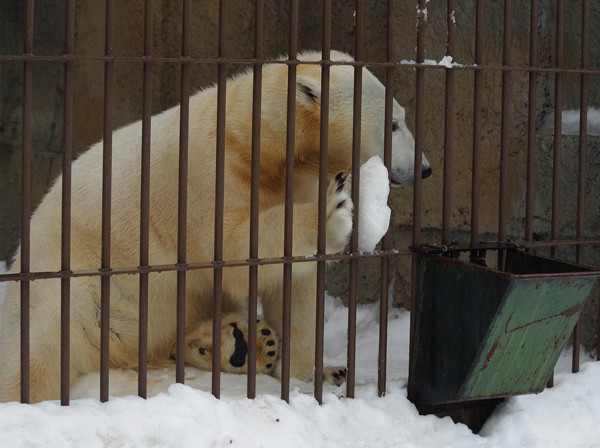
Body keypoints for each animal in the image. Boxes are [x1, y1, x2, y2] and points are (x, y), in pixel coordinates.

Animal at [0, 50, 432, 402]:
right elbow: (230, 246)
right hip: (76, 282)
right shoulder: (206, 170)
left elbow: (294, 283)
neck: (260, 143)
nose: (426, 168)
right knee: (40, 349)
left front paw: (316, 372)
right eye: (394, 123)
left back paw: (242, 342)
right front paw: (335, 210)